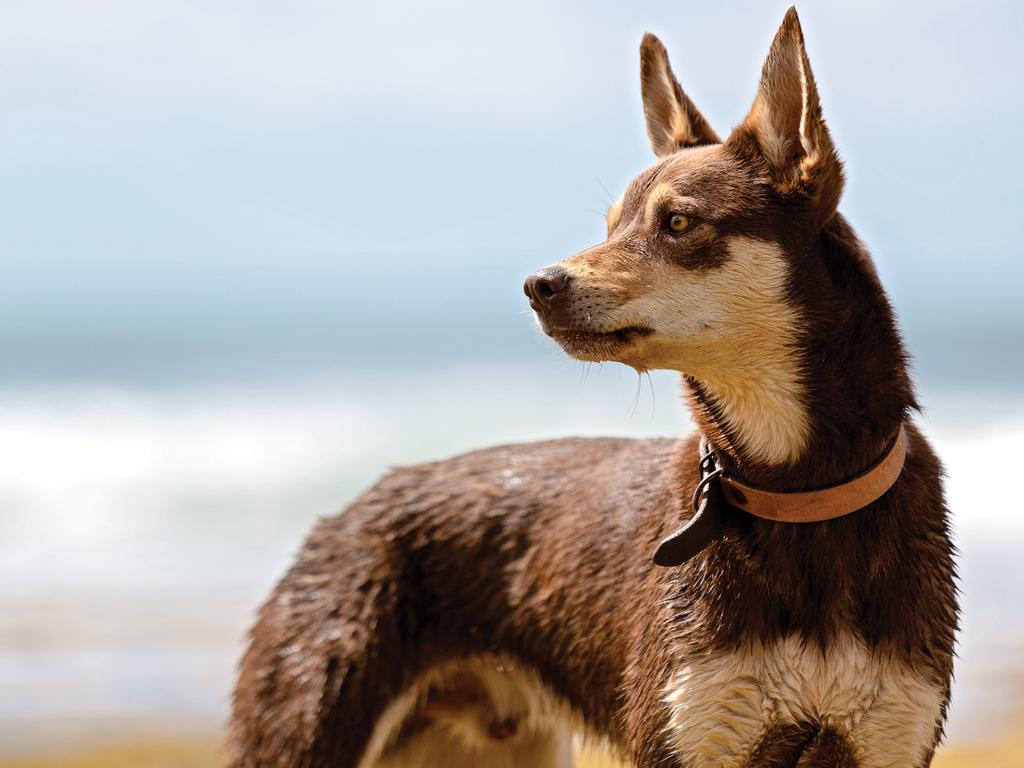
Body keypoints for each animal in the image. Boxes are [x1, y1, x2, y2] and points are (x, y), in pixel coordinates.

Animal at [230, 7, 958, 768]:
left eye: (677, 222)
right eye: (612, 227)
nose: (538, 285)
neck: (798, 497)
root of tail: (340, 516)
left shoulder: (887, 737)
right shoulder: (689, 734)